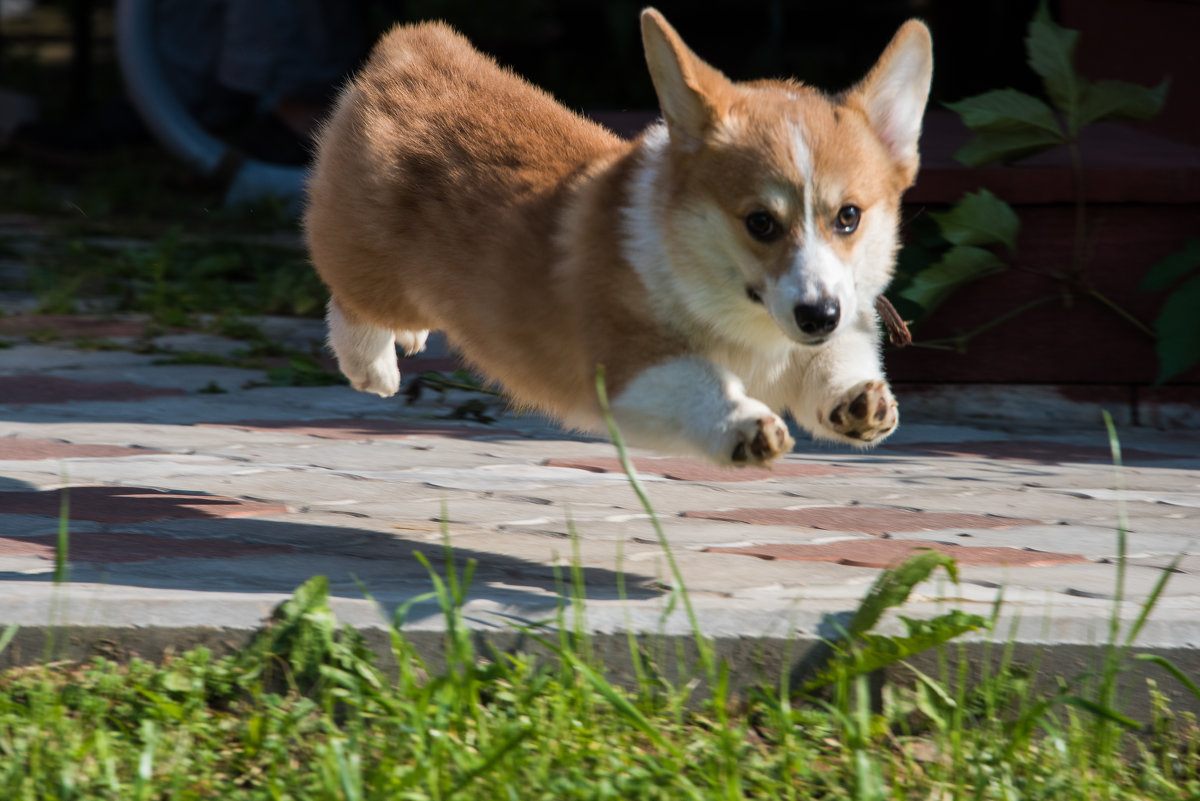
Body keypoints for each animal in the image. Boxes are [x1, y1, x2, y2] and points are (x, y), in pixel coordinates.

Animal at [304, 9, 931, 465]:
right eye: (760, 222)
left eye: (848, 217)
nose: (818, 315)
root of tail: (414, 47)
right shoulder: (628, 367)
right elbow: (699, 380)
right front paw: (744, 424)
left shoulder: (821, 334)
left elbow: (832, 364)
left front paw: (858, 401)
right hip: (368, 261)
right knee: (350, 298)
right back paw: (372, 365)